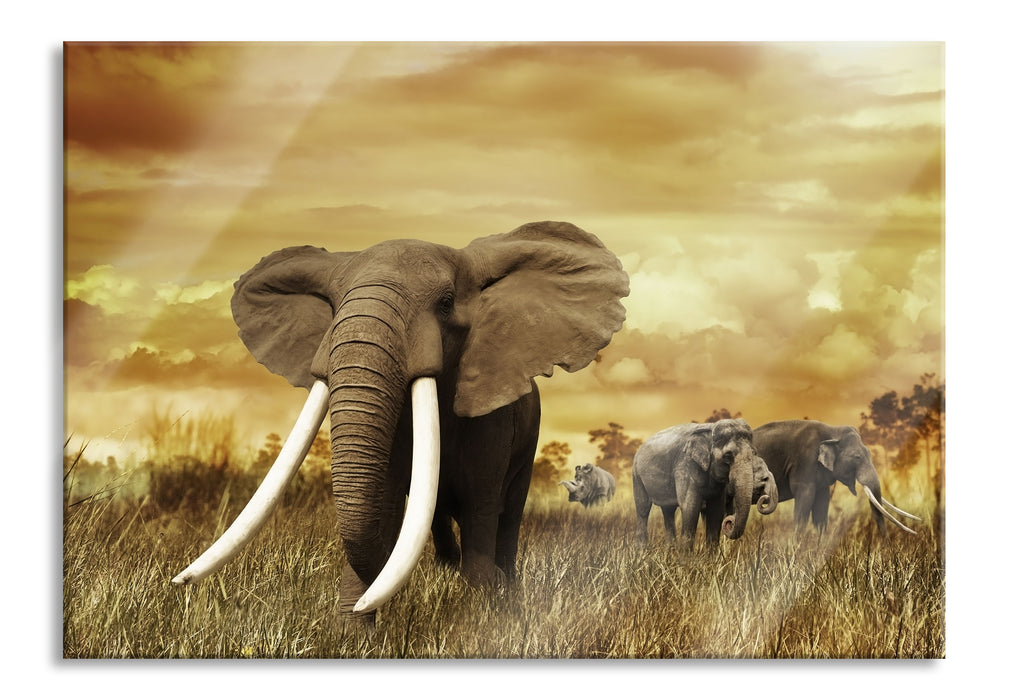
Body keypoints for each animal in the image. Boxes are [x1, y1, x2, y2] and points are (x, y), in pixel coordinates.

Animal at [171, 221, 629, 627]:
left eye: (445, 303)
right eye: (333, 306)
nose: (178, 584)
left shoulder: (494, 419)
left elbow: (481, 507)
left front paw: (483, 615)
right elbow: (386, 506)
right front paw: (353, 637)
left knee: (507, 513)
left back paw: (504, 584)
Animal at [632, 418, 760, 547]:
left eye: (754, 453)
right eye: (727, 456)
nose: (729, 521)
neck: (711, 427)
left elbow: (716, 510)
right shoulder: (685, 466)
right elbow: (690, 507)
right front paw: (685, 553)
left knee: (668, 510)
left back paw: (670, 549)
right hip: (636, 475)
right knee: (643, 508)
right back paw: (642, 549)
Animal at [752, 420, 920, 537]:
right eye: (857, 457)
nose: (885, 542)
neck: (832, 431)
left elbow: (821, 508)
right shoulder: (804, 464)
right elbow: (804, 503)